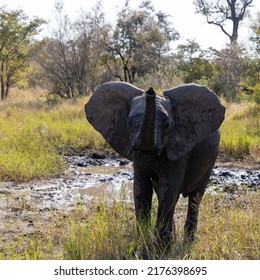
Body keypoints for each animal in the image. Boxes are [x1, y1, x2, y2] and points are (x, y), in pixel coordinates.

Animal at [85, 81, 225, 252]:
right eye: (129, 122)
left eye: (168, 125)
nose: (150, 91)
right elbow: (141, 189)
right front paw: (143, 248)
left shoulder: (178, 151)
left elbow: (168, 191)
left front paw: (162, 250)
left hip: (211, 158)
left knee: (195, 196)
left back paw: (187, 242)